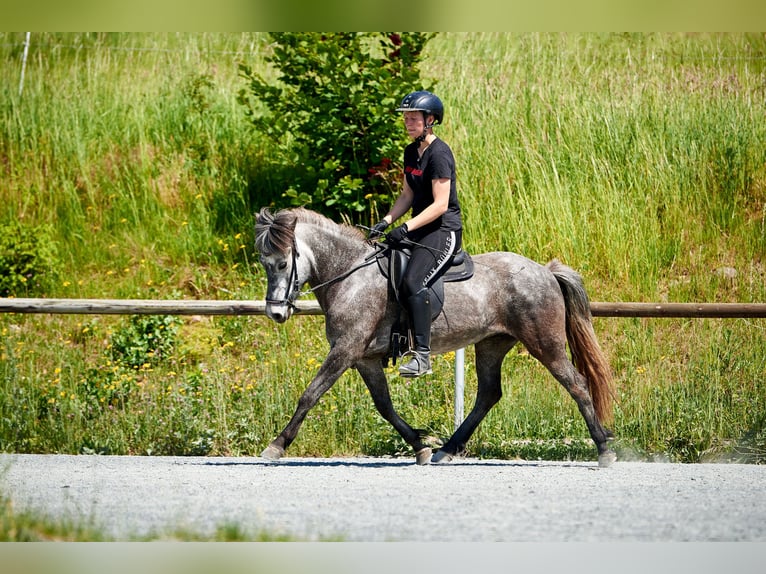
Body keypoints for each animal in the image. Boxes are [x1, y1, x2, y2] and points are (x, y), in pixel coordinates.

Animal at [254, 207, 617, 467]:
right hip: (491, 344)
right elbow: (384, 405)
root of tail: (546, 271)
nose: (275, 313)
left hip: (545, 343)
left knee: (576, 384)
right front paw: (420, 447)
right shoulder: (364, 358)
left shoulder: (345, 350)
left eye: (283, 264)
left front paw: (276, 445)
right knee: (488, 394)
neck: (350, 276)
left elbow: (310, 394)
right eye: (263, 263)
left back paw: (603, 449)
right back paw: (448, 449)